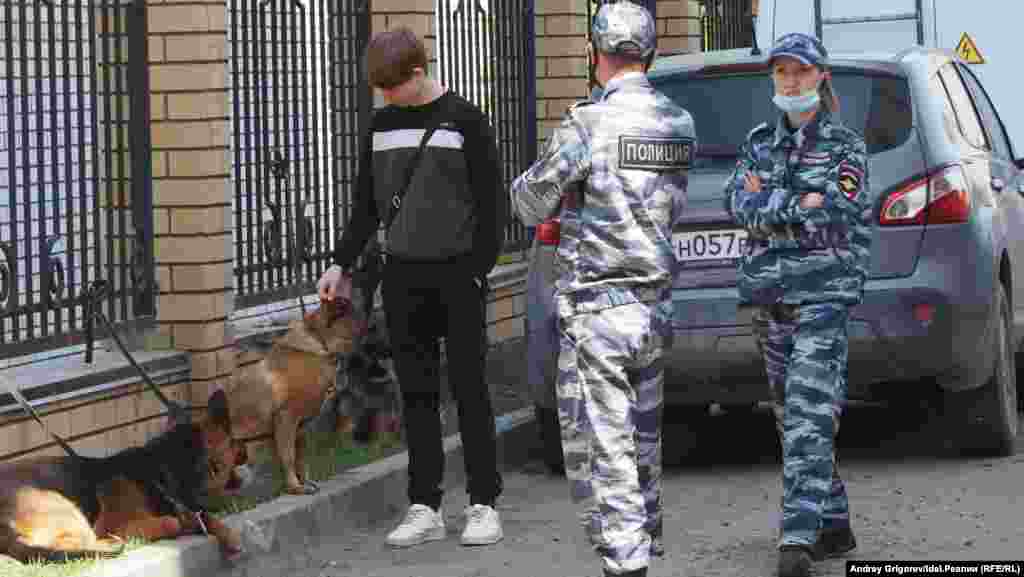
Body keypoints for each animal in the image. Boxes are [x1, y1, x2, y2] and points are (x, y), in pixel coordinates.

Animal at [0, 389, 248, 564]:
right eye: (213, 467)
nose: (245, 450)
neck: (158, 474)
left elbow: (201, 517)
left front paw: (224, 533)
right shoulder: (116, 524)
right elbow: (173, 522)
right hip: (65, 509)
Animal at [224, 296, 363, 495]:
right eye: (355, 316)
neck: (319, 341)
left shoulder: (301, 426)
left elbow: (301, 458)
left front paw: (304, 482)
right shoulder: (286, 419)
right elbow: (288, 456)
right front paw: (295, 487)